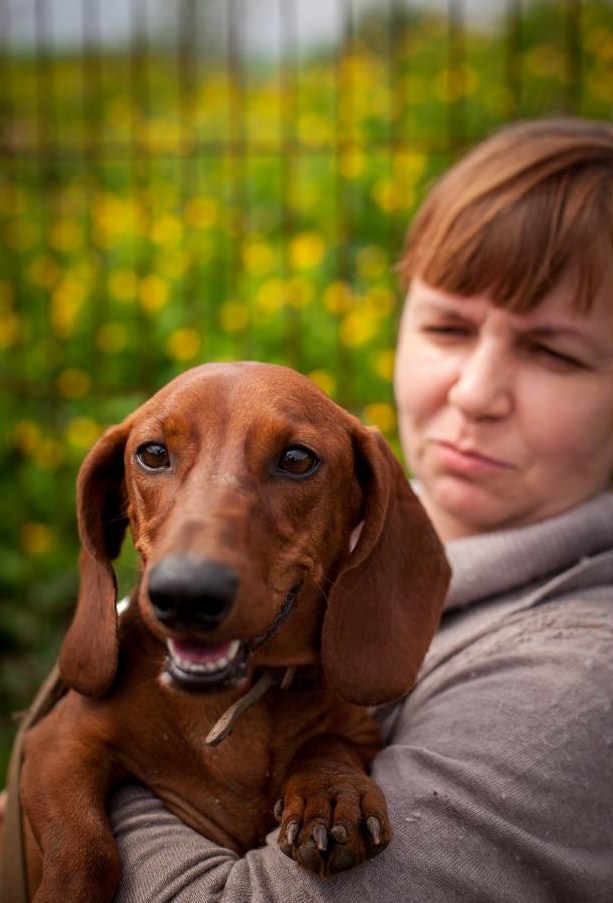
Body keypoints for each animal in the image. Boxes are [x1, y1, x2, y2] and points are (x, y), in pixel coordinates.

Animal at [9, 362, 450, 903]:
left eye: (297, 459)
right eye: (153, 453)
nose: (185, 594)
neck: (232, 707)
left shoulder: (362, 732)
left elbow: (327, 742)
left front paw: (332, 794)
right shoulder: (57, 744)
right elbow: (85, 853)